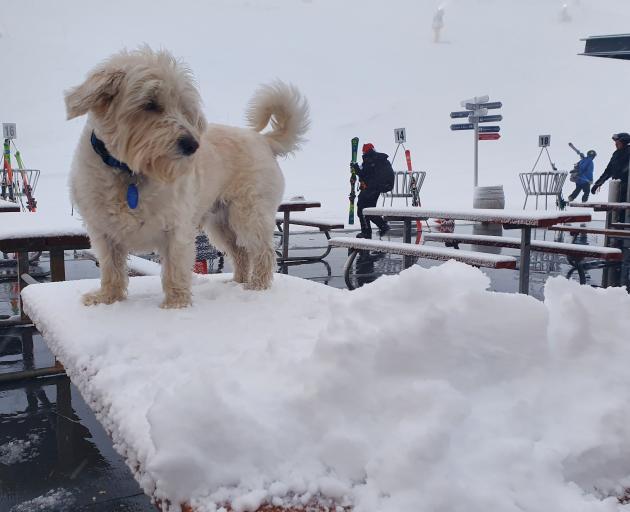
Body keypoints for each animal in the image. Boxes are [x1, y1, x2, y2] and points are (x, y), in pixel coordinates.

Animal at [65, 49, 310, 308]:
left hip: (249, 215)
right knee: (241, 253)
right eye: (150, 104)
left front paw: (176, 305)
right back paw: (237, 283)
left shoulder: (176, 227)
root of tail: (263, 139)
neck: (129, 172)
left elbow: (175, 269)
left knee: (263, 252)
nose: (192, 144)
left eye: (184, 109)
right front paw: (107, 298)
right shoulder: (103, 232)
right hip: (221, 223)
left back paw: (257, 286)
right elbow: (111, 268)